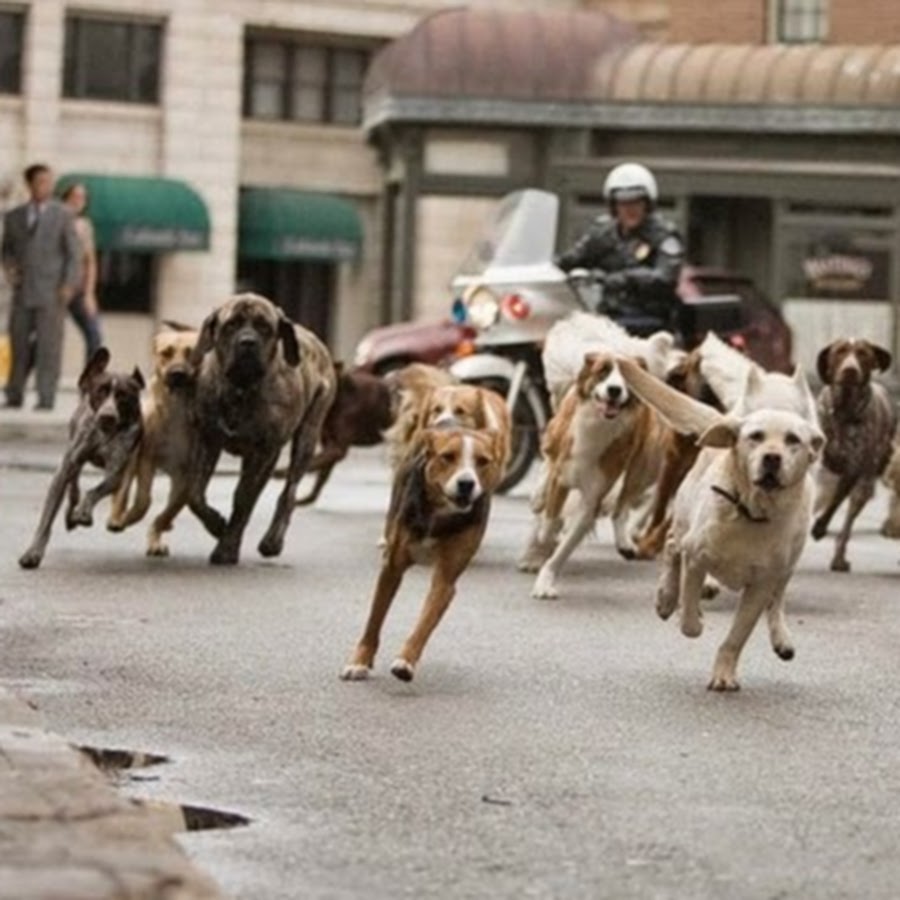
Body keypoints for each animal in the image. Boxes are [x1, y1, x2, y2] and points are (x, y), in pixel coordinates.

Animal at [17, 346, 145, 568]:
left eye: (123, 396)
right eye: (100, 391)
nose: (107, 416)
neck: (104, 434)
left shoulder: (116, 472)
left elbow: (96, 490)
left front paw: (83, 512)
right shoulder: (67, 466)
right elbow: (47, 518)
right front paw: (33, 552)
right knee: (74, 485)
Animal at [188, 294, 336, 564]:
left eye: (265, 327)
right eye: (231, 325)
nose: (248, 342)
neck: (241, 389)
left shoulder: (263, 452)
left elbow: (243, 498)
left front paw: (226, 547)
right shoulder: (208, 440)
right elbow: (194, 493)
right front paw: (216, 524)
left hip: (306, 439)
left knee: (288, 493)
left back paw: (272, 541)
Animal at [342, 420, 506, 684]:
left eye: (482, 461)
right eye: (448, 456)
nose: (467, 483)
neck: (439, 513)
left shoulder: (445, 580)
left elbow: (425, 621)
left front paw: (405, 661)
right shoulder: (391, 568)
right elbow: (375, 618)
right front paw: (360, 661)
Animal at [620, 356, 824, 688]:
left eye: (793, 440)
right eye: (756, 436)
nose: (772, 458)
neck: (751, 513)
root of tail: (729, 419)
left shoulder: (760, 585)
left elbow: (737, 636)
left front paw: (724, 673)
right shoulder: (697, 557)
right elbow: (689, 618)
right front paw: (688, 614)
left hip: (790, 561)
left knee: (778, 598)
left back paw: (781, 637)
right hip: (685, 519)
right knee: (672, 546)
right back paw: (666, 598)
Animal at [812, 338, 896, 568]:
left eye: (863, 354)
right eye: (840, 352)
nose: (850, 370)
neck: (843, 411)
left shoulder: (855, 472)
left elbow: (837, 509)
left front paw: (821, 529)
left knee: (846, 521)